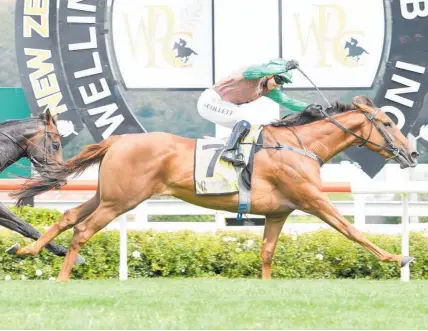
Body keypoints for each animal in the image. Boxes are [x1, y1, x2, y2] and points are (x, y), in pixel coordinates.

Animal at [9, 96, 418, 282]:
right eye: (386, 123)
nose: (413, 154)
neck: (299, 145)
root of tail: (119, 140)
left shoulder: (278, 212)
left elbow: (267, 253)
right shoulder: (313, 199)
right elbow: (352, 230)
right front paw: (397, 258)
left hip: (107, 195)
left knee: (68, 216)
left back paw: (26, 250)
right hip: (121, 200)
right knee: (81, 230)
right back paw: (62, 277)